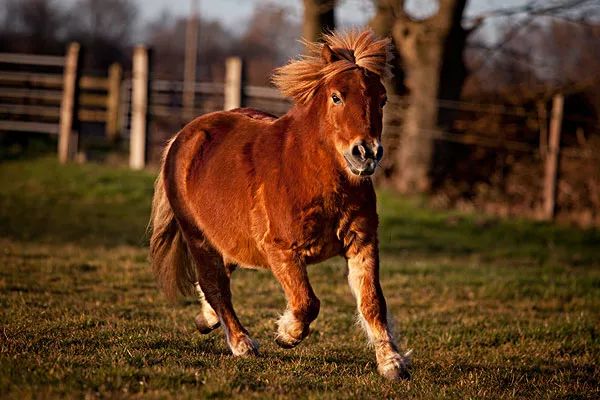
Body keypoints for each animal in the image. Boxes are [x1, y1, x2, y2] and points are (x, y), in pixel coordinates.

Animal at [150, 29, 412, 380]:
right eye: (336, 97)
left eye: (382, 99)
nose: (366, 153)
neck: (311, 175)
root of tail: (184, 136)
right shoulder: (282, 250)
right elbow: (307, 302)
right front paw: (286, 333)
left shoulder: (362, 242)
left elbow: (372, 302)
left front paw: (392, 363)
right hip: (197, 236)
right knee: (215, 283)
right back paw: (242, 343)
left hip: (227, 236)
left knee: (219, 275)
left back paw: (207, 319)